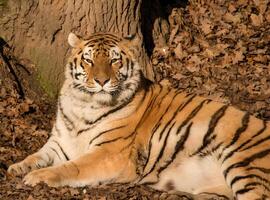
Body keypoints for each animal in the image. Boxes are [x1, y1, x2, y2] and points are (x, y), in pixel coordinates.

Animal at [7, 32, 270, 199]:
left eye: (114, 60)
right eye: (89, 60)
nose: (101, 81)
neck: (84, 104)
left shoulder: (110, 153)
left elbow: (72, 167)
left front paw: (37, 176)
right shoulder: (59, 143)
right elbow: (36, 156)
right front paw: (16, 168)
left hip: (244, 163)